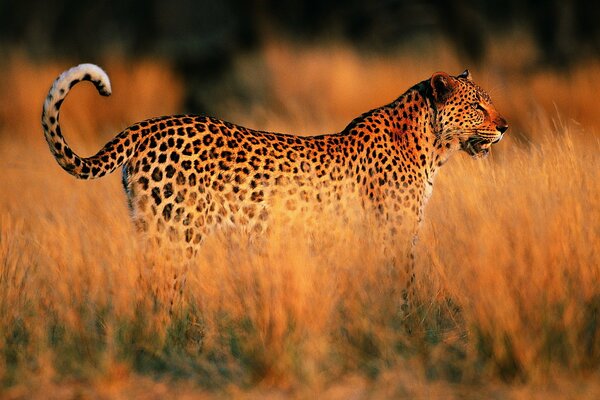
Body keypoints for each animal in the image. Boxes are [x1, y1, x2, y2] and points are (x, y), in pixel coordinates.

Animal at [39, 63, 506, 312]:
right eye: (478, 104)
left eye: (489, 101)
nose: (504, 126)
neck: (431, 145)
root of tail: (149, 125)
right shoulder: (394, 233)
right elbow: (403, 287)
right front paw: (407, 329)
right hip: (178, 233)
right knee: (163, 292)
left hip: (149, 229)